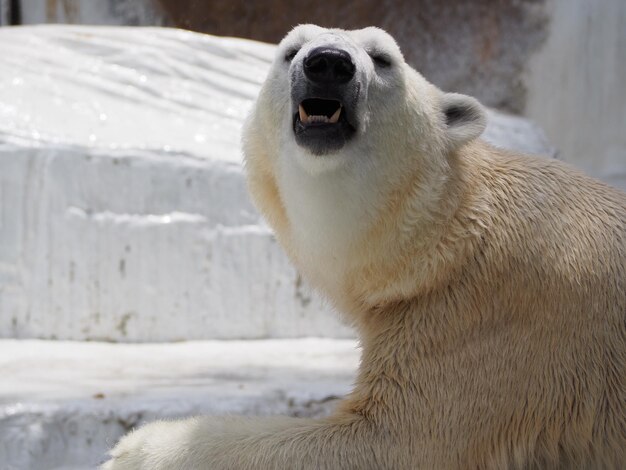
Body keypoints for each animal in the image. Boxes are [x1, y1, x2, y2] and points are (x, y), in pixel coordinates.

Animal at [106, 26, 624, 470]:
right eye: (290, 49)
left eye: (383, 57)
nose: (328, 63)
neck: (441, 240)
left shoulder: (489, 319)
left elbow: (389, 440)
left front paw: (137, 449)